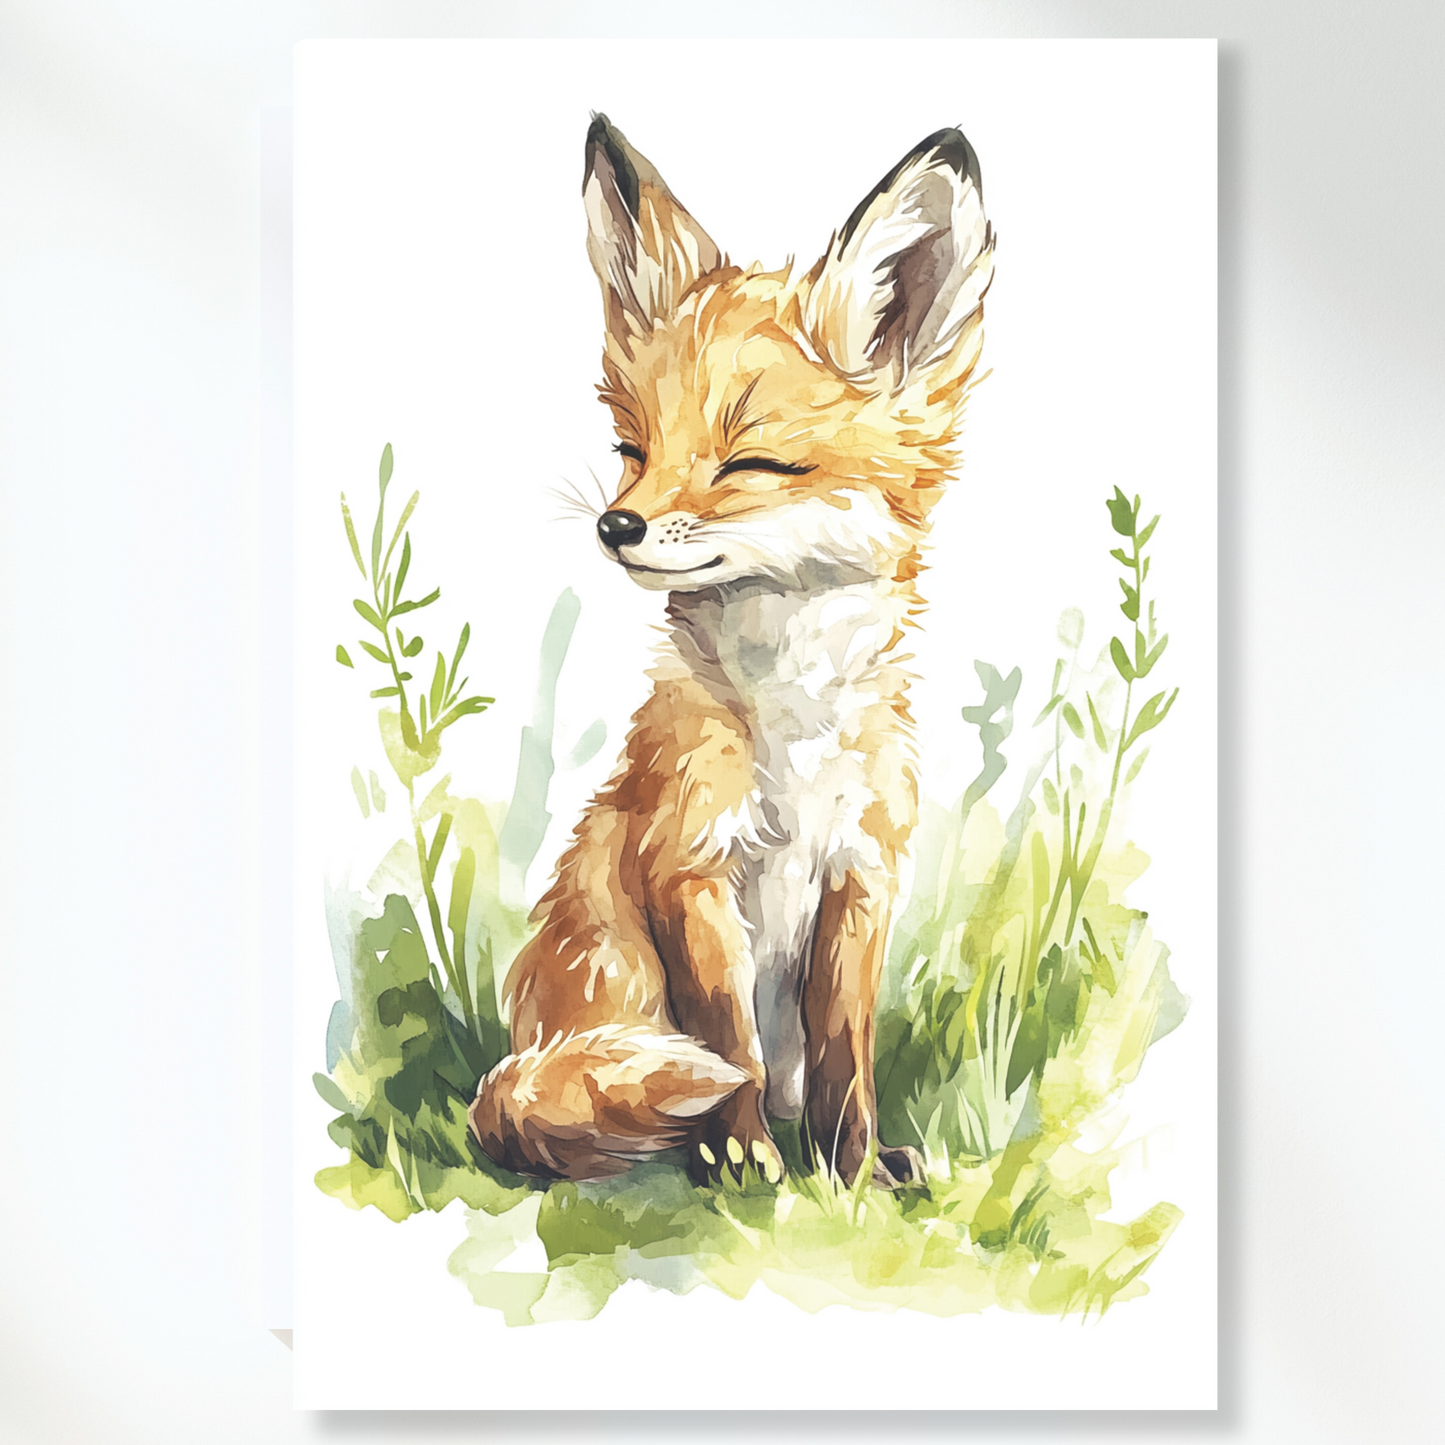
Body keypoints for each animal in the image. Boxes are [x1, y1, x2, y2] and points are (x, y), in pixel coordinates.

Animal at [469, 115, 994, 1189]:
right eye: (632, 449)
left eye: (750, 462)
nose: (615, 524)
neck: (791, 720)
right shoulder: (690, 868)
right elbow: (731, 1046)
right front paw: (747, 1167)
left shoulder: (860, 875)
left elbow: (843, 1057)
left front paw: (854, 1176)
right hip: (605, 980)